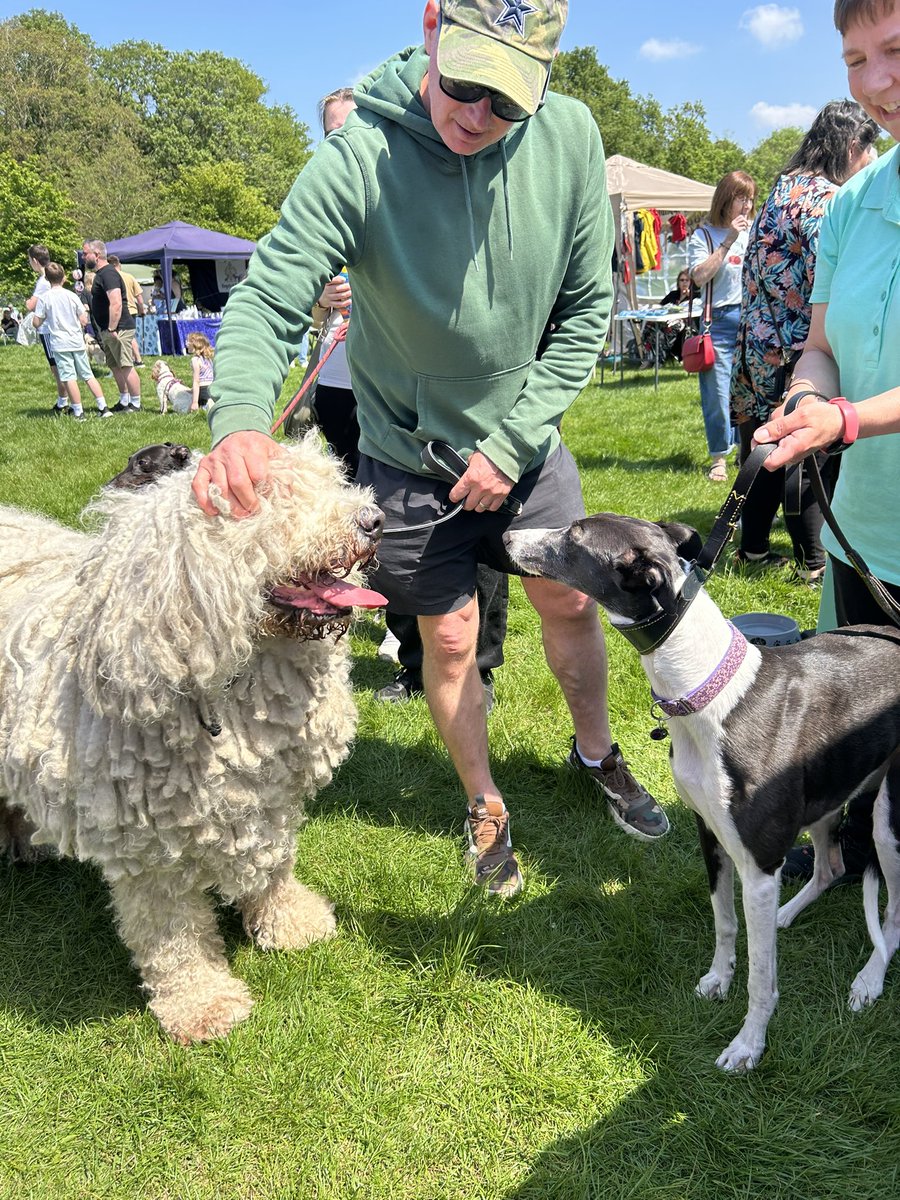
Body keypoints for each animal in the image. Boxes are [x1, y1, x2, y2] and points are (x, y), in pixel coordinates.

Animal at [0, 436, 384, 1046]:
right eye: (268, 496)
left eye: (329, 477)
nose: (373, 520)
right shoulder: (144, 841)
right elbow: (171, 930)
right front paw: (202, 1001)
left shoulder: (271, 790)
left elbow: (274, 859)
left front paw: (291, 921)